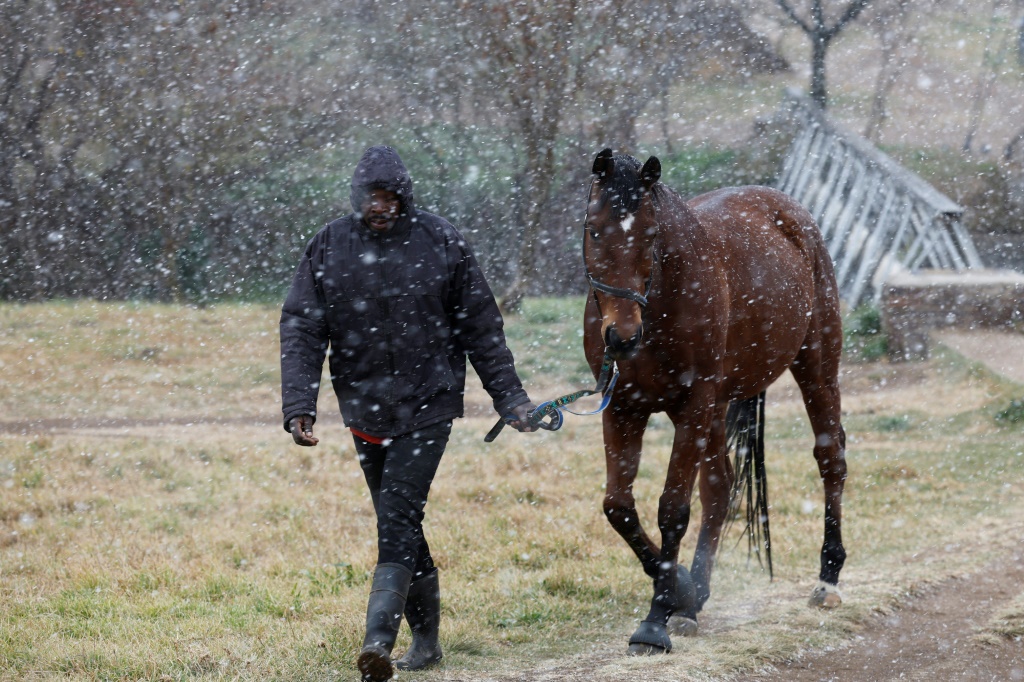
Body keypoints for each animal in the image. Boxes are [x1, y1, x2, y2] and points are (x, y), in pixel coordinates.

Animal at [585, 147, 847, 655]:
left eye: (651, 234)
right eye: (593, 228)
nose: (622, 337)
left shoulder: (692, 406)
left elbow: (672, 510)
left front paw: (655, 622)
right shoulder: (624, 408)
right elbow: (618, 506)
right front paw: (681, 594)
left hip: (815, 371)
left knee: (830, 458)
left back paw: (828, 578)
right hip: (717, 410)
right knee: (720, 487)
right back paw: (696, 598)